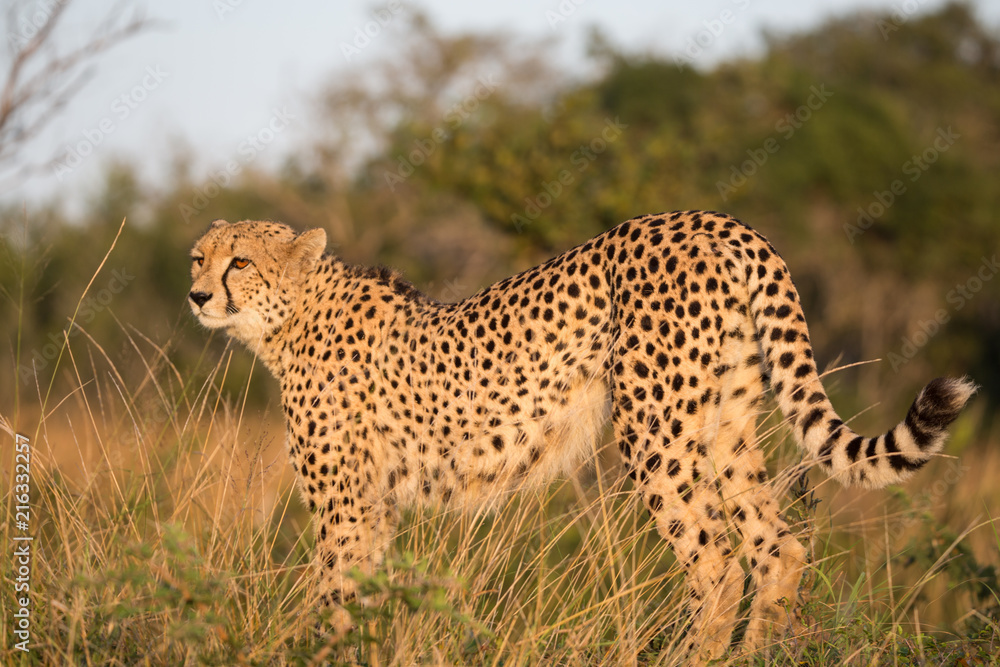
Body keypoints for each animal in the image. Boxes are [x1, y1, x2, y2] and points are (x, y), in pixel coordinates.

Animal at [188, 210, 975, 662]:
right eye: (200, 256)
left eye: (240, 261)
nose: (196, 295)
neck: (289, 318)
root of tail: (717, 220)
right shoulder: (375, 506)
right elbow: (364, 597)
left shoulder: (346, 507)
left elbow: (335, 595)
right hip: (725, 421)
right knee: (774, 543)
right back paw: (755, 655)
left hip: (654, 428)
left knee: (716, 558)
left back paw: (695, 659)